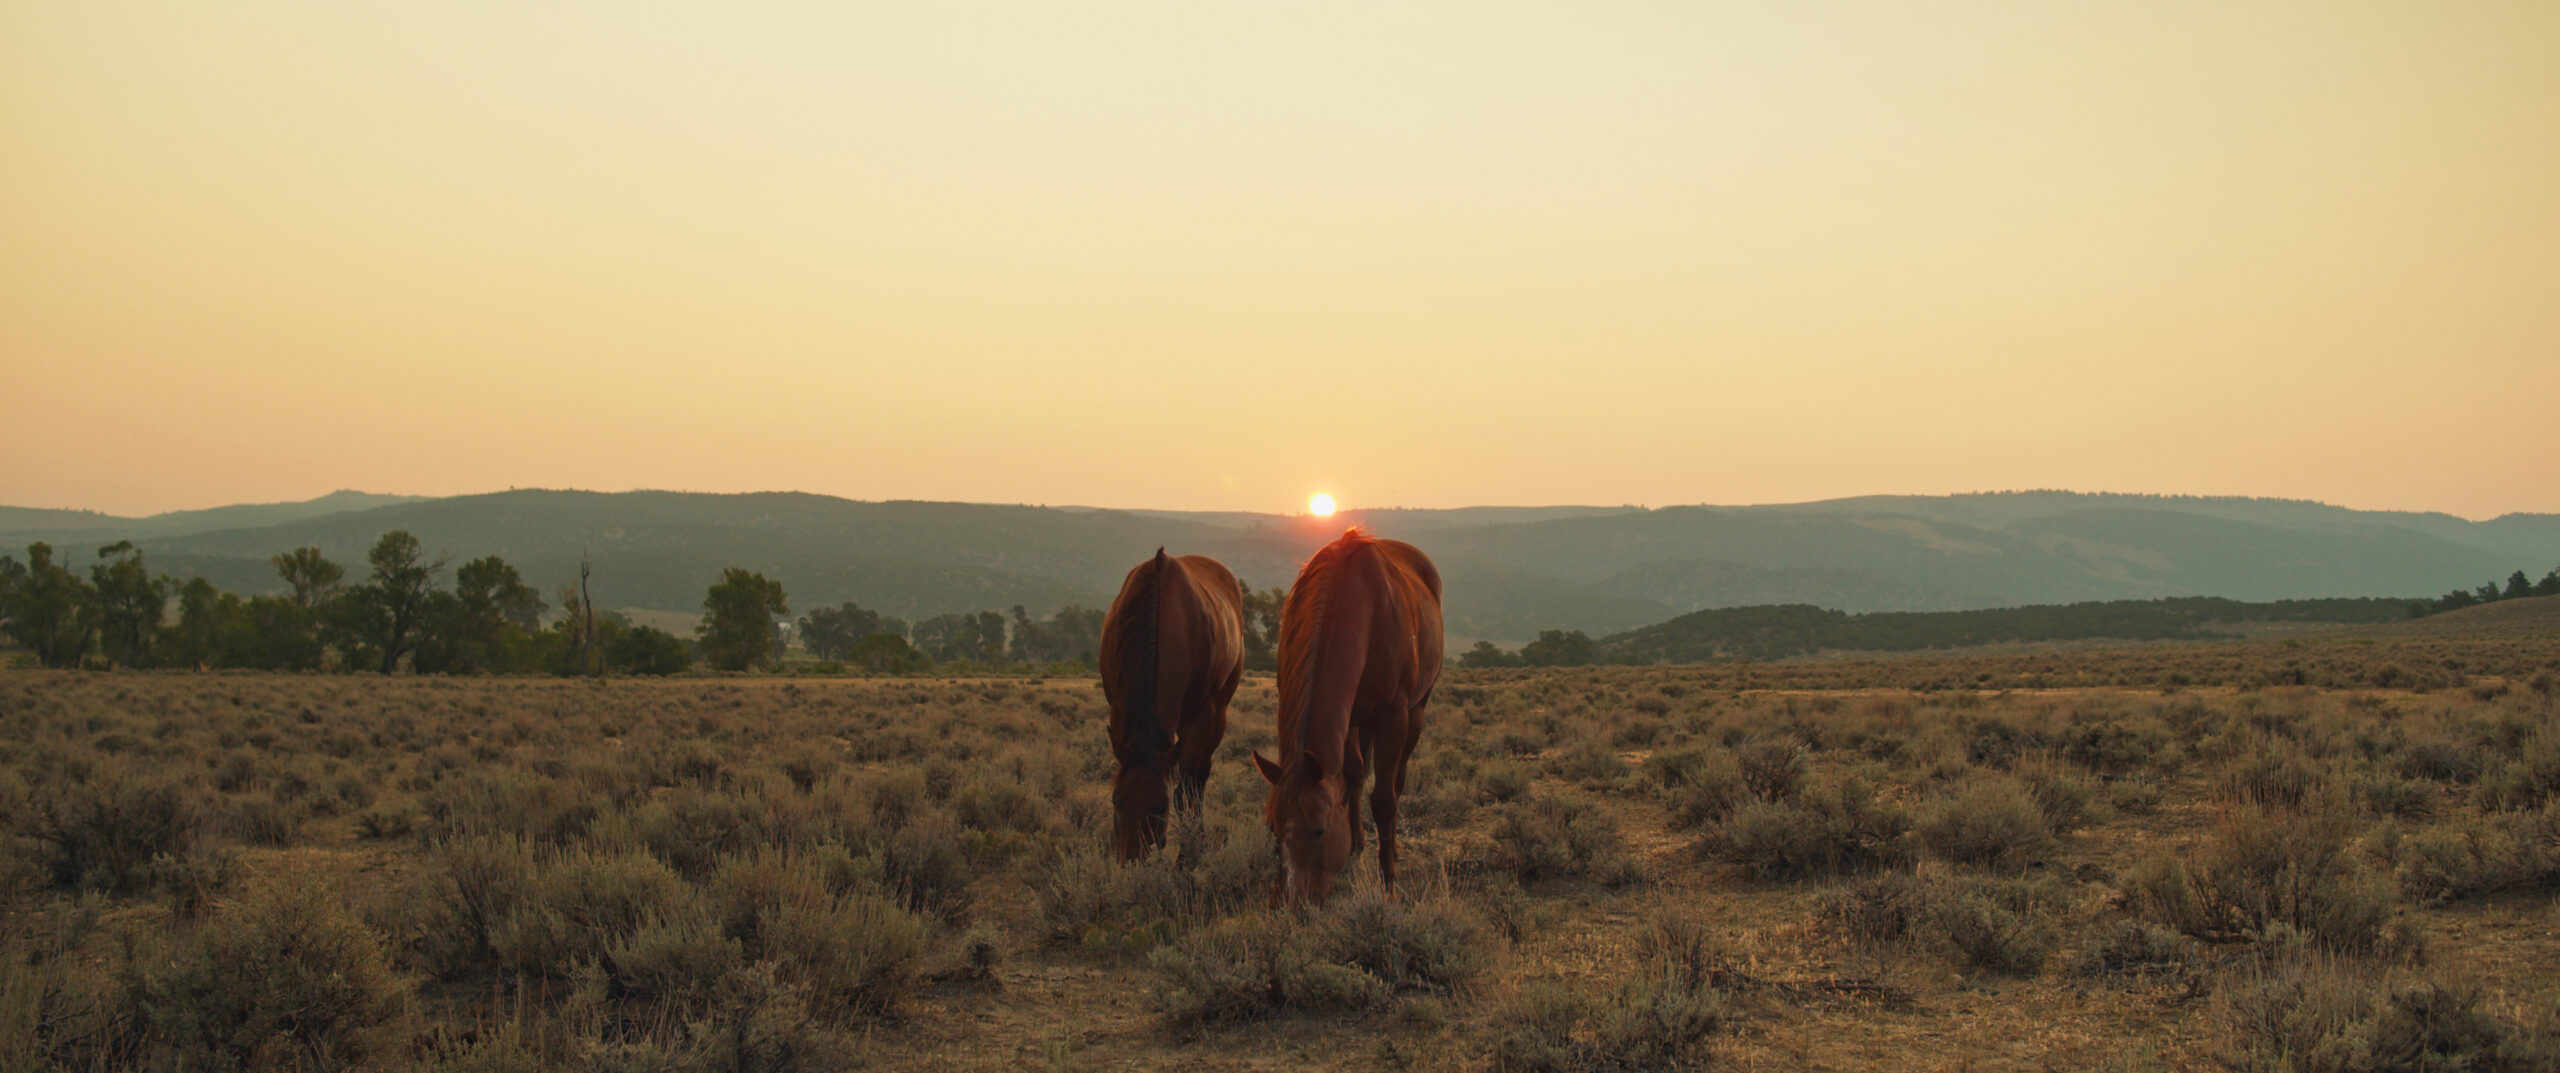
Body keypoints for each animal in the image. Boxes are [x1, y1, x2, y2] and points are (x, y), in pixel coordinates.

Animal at [1100, 550, 1249, 860]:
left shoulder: (1203, 716)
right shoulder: (1118, 707)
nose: (1131, 859)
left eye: (1160, 807)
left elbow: (1186, 791)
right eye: (1116, 800)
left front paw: (1187, 857)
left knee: (1199, 778)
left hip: (1217, 713)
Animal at [1254, 530, 1443, 906]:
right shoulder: (1350, 714)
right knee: (1356, 772)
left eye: (1319, 830)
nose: (1290, 901)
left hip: (1415, 712)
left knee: (1397, 781)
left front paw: (1389, 883)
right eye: (1274, 831)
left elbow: (1384, 798)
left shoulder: (1393, 715)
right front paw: (1355, 847)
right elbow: (1352, 775)